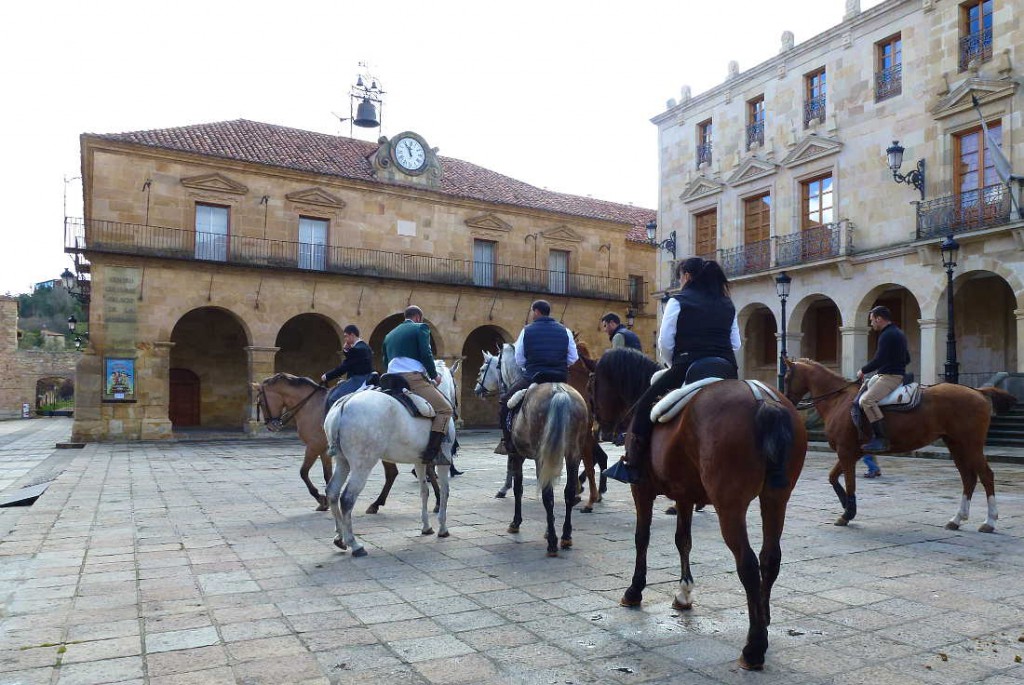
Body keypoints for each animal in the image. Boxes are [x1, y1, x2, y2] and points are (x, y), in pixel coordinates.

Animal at [251, 374, 440, 511]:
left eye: (260, 401)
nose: (271, 425)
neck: (311, 405)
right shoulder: (324, 450)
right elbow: (327, 474)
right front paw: (327, 500)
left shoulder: (313, 446)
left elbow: (303, 472)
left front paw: (321, 498)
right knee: (398, 472)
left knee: (412, 470)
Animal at [473, 341, 589, 557]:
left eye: (483, 369)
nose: (477, 390)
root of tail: (559, 392)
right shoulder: (539, 458)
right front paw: (548, 528)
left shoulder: (516, 454)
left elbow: (518, 488)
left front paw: (516, 522)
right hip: (572, 454)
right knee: (568, 491)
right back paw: (565, 536)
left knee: (548, 494)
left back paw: (552, 543)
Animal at [593, 348, 806, 667]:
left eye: (592, 383)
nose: (600, 429)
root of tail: (763, 401)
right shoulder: (685, 495)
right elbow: (683, 540)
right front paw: (684, 593)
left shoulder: (641, 489)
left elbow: (642, 538)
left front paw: (634, 590)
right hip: (775, 499)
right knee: (770, 558)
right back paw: (763, 620)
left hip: (730, 505)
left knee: (747, 563)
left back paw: (754, 647)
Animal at [782, 356, 1015, 532]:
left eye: (785, 376)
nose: (786, 402)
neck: (838, 401)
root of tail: (978, 391)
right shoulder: (851, 453)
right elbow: (832, 478)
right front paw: (846, 507)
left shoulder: (846, 452)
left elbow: (849, 484)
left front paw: (848, 512)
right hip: (956, 445)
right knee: (968, 478)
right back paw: (957, 519)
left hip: (971, 444)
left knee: (986, 476)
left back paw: (990, 521)